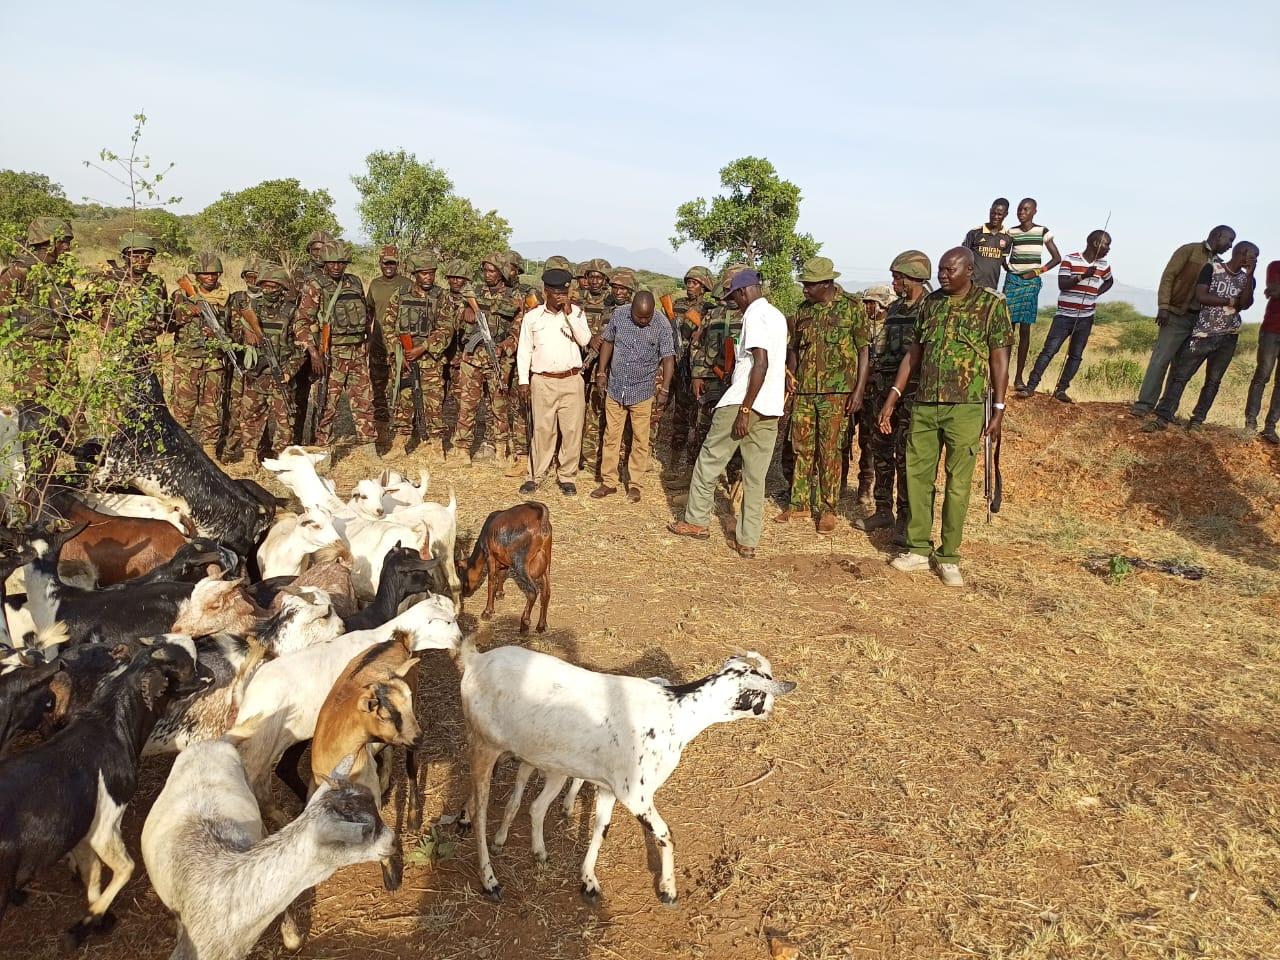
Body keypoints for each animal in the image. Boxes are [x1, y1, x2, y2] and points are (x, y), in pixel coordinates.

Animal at [0, 634, 209, 942]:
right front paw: (89, 920)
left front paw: (97, 915)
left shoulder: (83, 829)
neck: (110, 724)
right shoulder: (106, 823)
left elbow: (94, 871)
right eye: (190, 666)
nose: (212, 674)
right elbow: (126, 867)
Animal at [455, 647, 793, 911]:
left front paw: (588, 881)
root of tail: (475, 660)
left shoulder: (608, 787)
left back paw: (535, 852)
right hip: (484, 745)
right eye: (763, 687)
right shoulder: (636, 795)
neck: (676, 713)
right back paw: (489, 879)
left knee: (532, 807)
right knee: (481, 813)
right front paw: (669, 890)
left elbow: (600, 828)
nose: (770, 710)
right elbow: (665, 834)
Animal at [458, 499, 552, 634]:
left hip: (520, 562)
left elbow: (491, 580)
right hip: (547, 561)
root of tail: (541, 518)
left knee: (533, 590)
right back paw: (541, 626)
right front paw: (500, 593)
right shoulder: (503, 560)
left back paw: (524, 623)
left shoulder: (490, 555)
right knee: (547, 592)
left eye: (462, 573)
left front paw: (488, 611)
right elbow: (501, 574)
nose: (465, 593)